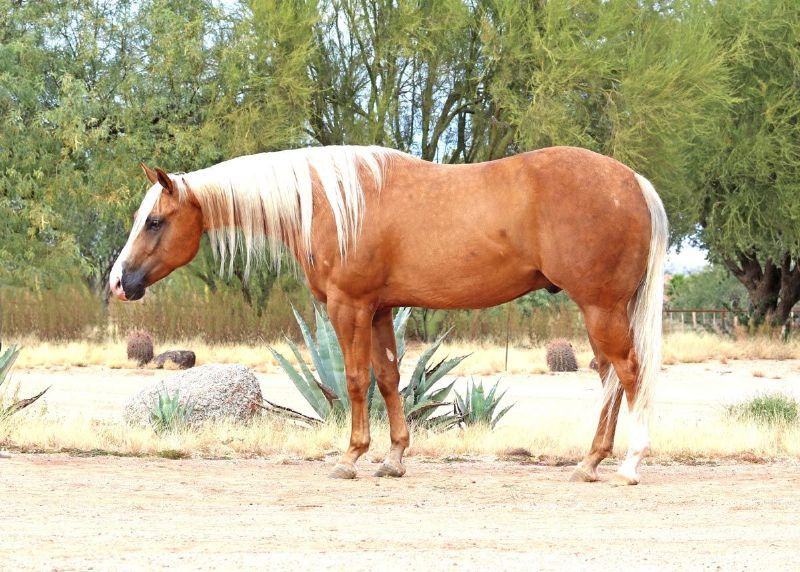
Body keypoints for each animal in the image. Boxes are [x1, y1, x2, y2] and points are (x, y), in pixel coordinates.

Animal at [110, 145, 667, 485]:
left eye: (155, 221)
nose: (119, 282)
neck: (331, 204)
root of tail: (631, 181)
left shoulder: (348, 306)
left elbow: (356, 379)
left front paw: (350, 457)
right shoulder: (380, 310)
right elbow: (388, 377)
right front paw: (394, 458)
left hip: (600, 307)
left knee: (628, 374)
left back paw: (629, 465)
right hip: (601, 310)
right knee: (610, 377)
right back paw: (589, 463)